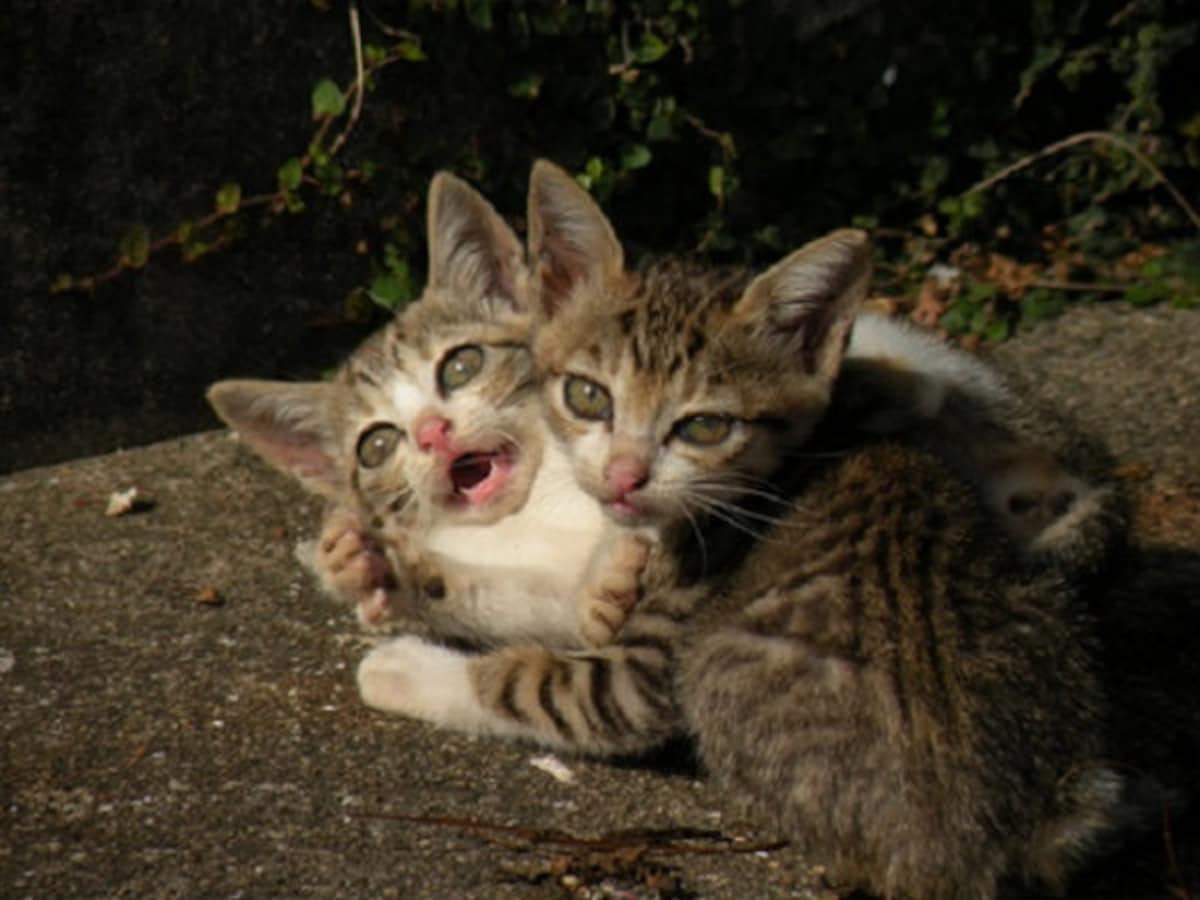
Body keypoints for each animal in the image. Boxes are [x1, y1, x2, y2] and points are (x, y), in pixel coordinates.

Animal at [350, 162, 1128, 900]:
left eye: (703, 427)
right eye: (588, 395)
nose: (626, 476)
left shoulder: (641, 670)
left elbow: (527, 683)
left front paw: (400, 666)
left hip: (715, 664)